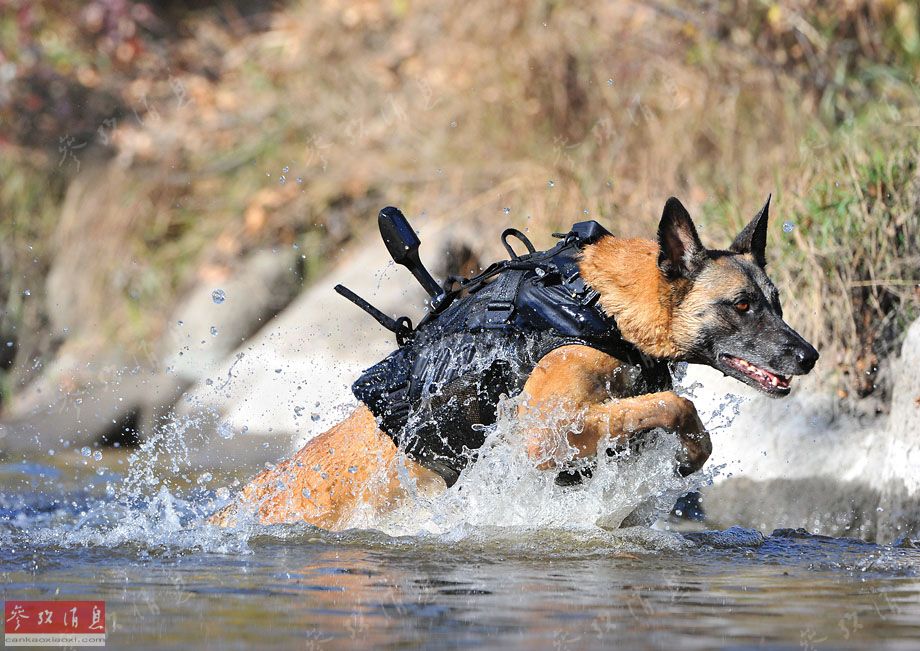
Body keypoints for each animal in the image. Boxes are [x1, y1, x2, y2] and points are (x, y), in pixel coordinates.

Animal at [210, 197, 820, 528]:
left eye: (777, 303)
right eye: (742, 305)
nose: (809, 355)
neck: (598, 303)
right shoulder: (545, 430)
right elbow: (677, 402)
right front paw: (690, 454)